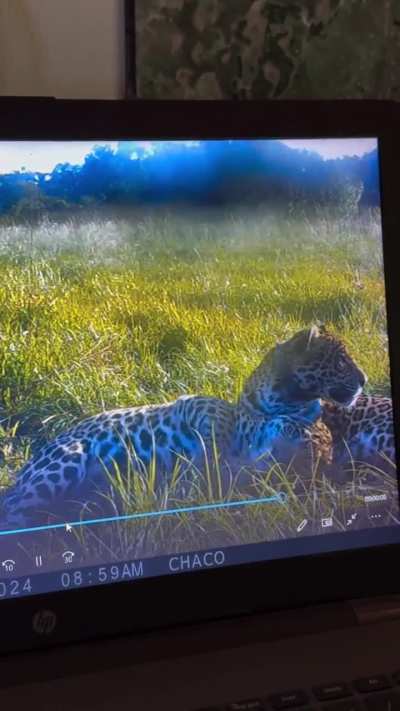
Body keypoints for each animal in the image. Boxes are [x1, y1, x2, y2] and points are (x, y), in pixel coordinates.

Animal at [0, 325, 366, 528]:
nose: (364, 380)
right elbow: (210, 445)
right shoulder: (197, 407)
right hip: (65, 460)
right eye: (341, 361)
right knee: (15, 510)